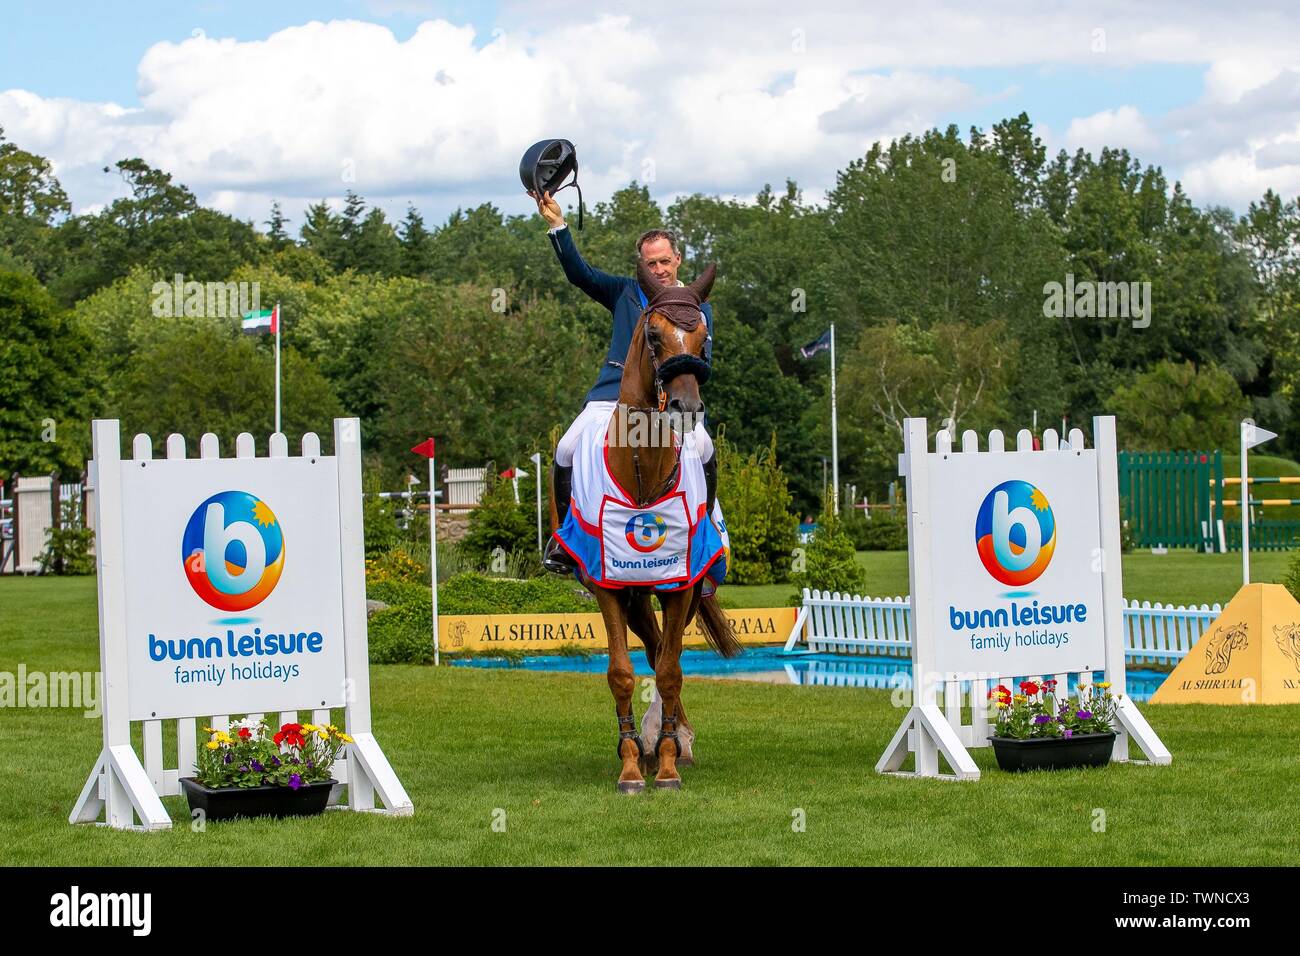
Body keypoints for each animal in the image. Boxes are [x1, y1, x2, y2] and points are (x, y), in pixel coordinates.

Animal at [548, 256, 743, 790]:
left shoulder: (681, 586)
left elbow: (673, 669)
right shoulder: (607, 586)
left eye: (704, 337)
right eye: (653, 335)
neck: (643, 471)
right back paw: (653, 740)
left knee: (663, 655)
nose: (686, 408)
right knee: (652, 648)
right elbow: (621, 672)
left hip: (684, 590)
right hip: (634, 595)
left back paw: (672, 739)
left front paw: (670, 763)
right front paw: (633, 764)